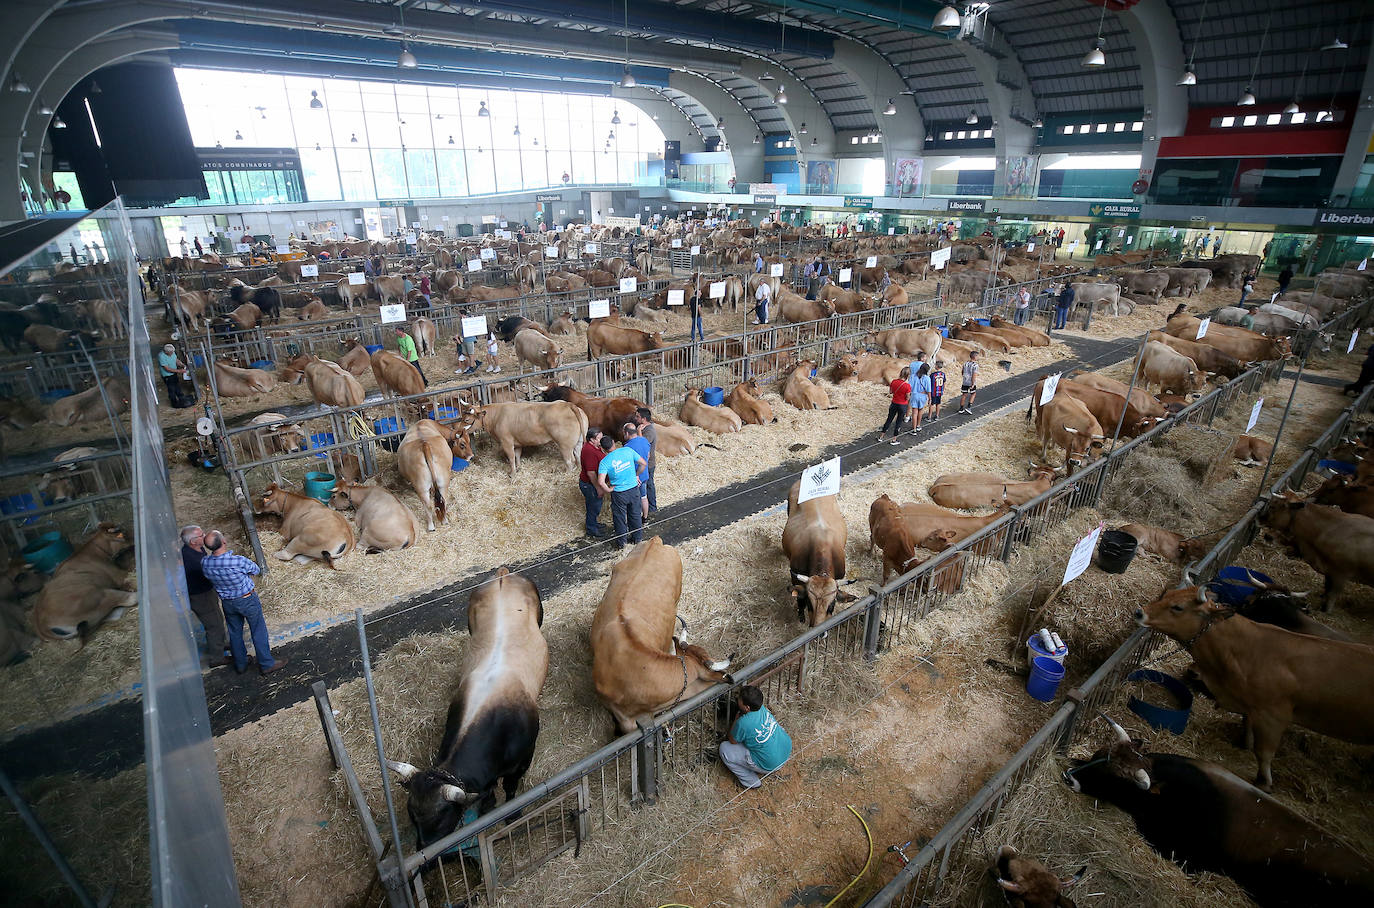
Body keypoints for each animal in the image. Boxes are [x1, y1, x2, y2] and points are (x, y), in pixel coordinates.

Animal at [387, 565, 546, 840]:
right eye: (412, 815)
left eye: (440, 818)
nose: (426, 849)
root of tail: (503, 574)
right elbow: (488, 791)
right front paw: (487, 805)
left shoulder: (524, 759)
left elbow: (511, 789)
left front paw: (512, 813)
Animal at [1132, 587, 1374, 785]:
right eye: (1167, 593)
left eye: (1178, 607)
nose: (1139, 613)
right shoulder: (1251, 704)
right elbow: (1247, 726)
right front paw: (1244, 743)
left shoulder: (1274, 715)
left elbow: (1264, 752)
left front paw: (1263, 782)